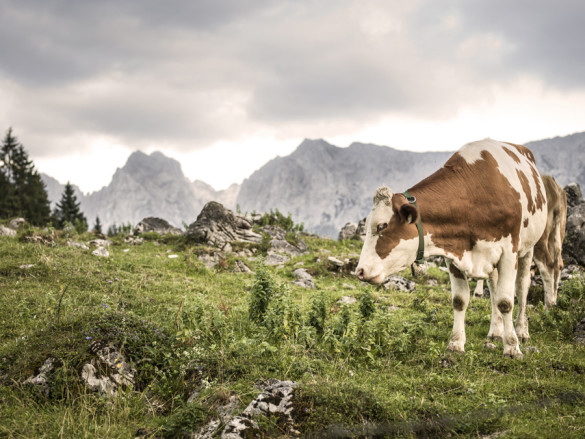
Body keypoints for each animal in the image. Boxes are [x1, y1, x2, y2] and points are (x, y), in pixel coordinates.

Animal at [356, 139, 548, 360]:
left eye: (381, 226)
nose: (359, 271)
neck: (474, 199)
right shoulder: (453, 253)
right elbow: (460, 300)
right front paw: (455, 343)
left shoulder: (509, 251)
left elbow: (506, 301)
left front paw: (512, 347)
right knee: (493, 286)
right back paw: (496, 330)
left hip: (528, 248)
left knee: (522, 287)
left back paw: (522, 331)